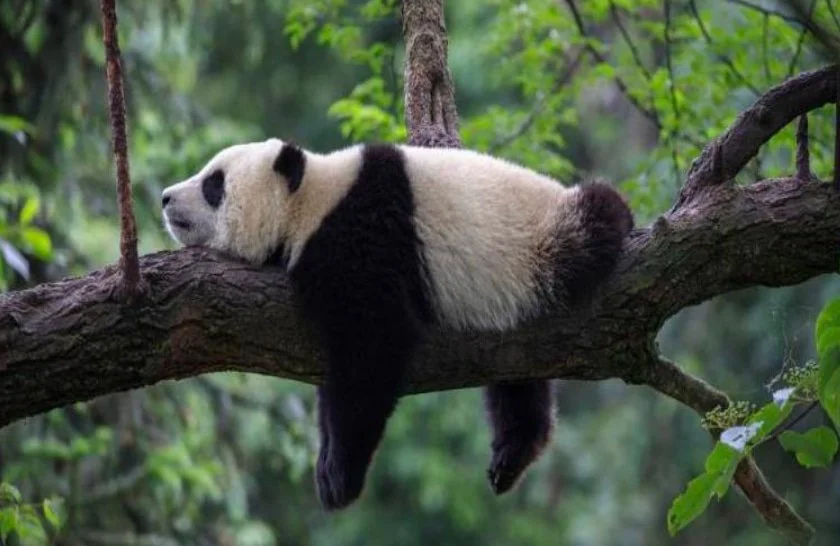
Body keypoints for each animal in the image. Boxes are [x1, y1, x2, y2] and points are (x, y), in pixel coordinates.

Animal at [161, 138, 633, 510]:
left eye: (214, 184)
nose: (165, 197)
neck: (311, 200)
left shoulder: (362, 240)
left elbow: (372, 350)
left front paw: (340, 476)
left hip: (545, 241)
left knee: (597, 215)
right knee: (517, 379)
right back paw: (513, 453)